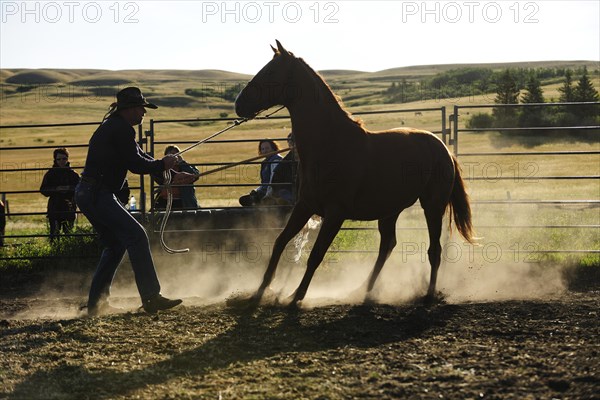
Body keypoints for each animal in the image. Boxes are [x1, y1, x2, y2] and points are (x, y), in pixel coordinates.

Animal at [234, 40, 474, 304]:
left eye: (271, 72)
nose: (238, 104)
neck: (330, 143)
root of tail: (443, 148)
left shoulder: (335, 213)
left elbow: (316, 254)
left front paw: (296, 296)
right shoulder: (304, 206)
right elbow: (280, 242)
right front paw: (260, 291)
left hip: (432, 205)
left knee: (434, 250)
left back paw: (429, 294)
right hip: (390, 210)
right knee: (387, 245)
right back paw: (362, 290)